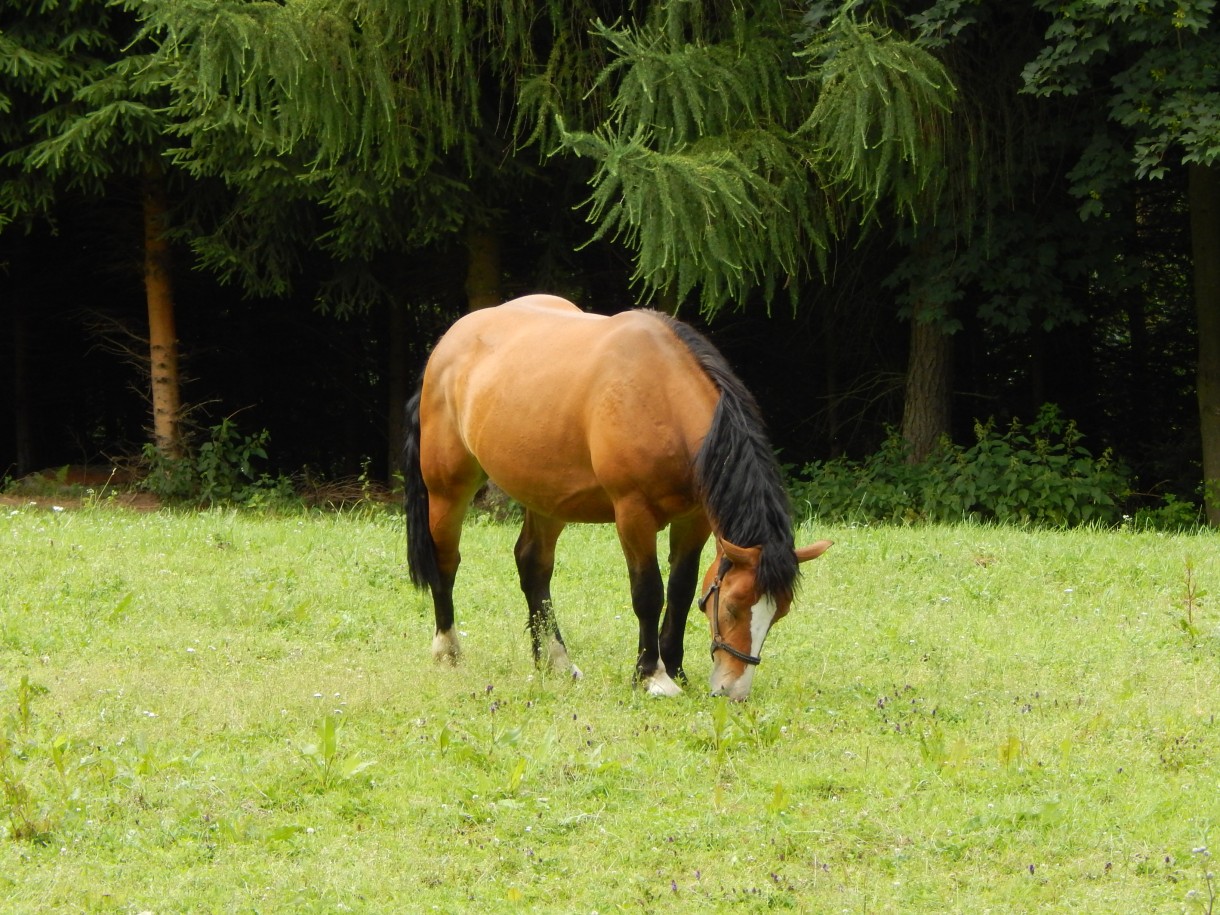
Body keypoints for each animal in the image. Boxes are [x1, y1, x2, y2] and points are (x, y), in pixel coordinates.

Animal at [400, 295, 829, 702]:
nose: (732, 691)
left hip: (548, 498)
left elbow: (681, 590)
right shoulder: (633, 514)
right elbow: (649, 593)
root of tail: (448, 343)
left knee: (533, 565)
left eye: (778, 614)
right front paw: (652, 675)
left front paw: (675, 668)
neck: (661, 396)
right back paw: (448, 650)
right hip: (448, 488)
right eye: (732, 606)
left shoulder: (694, 520)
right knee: (446, 562)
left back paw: (555, 661)